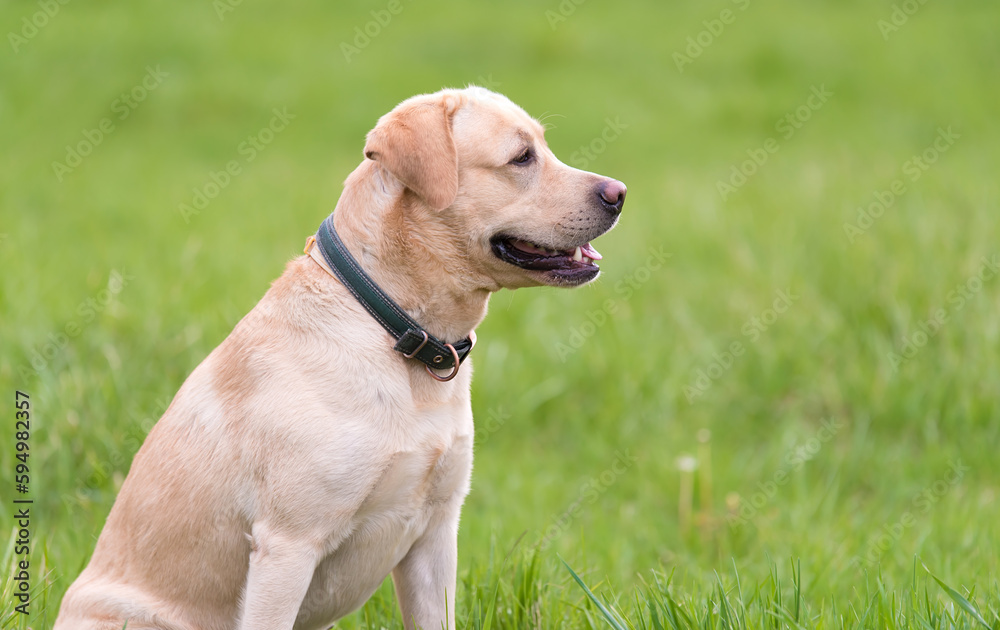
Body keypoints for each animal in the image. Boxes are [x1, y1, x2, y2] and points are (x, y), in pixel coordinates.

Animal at [54, 87, 624, 630]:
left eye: (543, 146)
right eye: (521, 157)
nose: (619, 193)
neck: (394, 329)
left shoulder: (436, 533)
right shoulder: (287, 544)